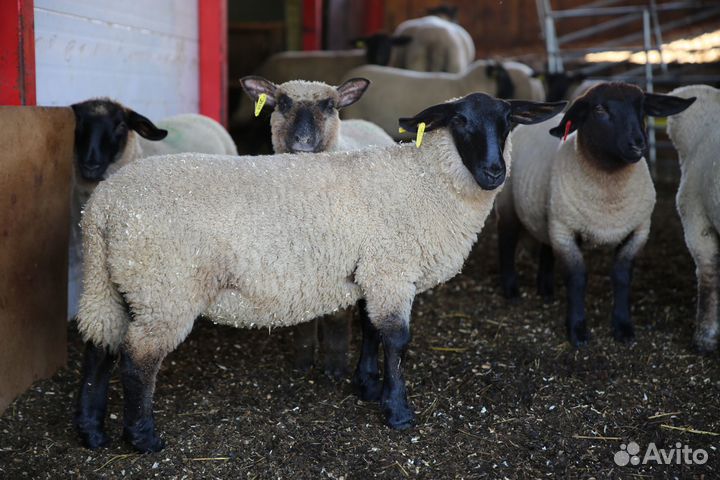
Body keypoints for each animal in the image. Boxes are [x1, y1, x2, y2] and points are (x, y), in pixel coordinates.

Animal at [238, 75, 394, 376]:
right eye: (283, 103)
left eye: (330, 105)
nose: (303, 140)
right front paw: (302, 363)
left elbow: (336, 319)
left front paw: (335, 367)